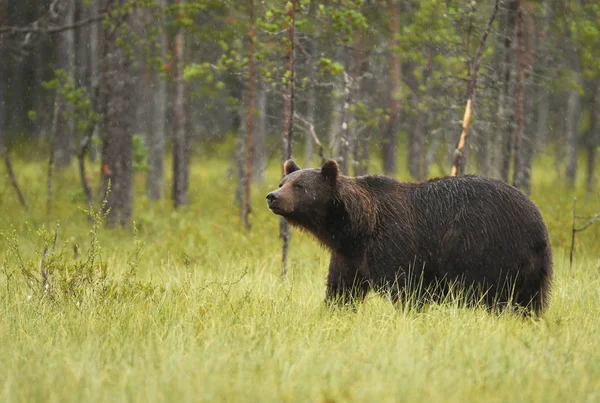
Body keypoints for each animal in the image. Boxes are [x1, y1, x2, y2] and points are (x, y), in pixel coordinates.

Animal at [268, 159, 552, 314]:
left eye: (299, 186)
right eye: (283, 181)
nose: (272, 196)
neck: (356, 229)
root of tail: (538, 219)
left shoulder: (394, 244)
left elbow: (406, 291)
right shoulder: (349, 257)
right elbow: (341, 289)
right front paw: (334, 309)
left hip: (488, 249)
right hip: (530, 267)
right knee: (530, 301)